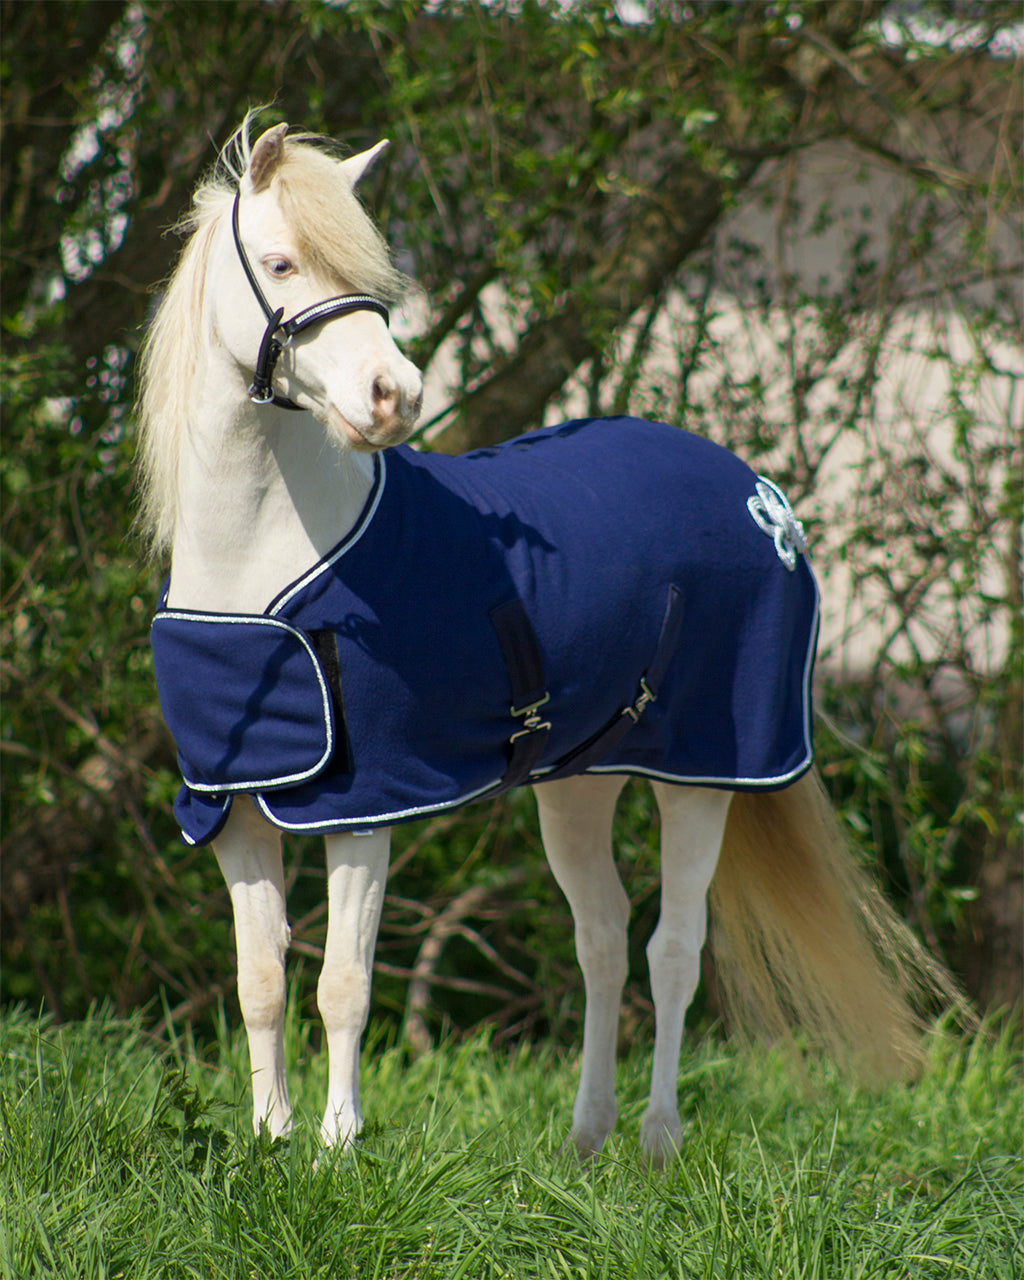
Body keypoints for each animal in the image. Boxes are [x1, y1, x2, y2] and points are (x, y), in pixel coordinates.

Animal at [136, 117, 953, 1167]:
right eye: (279, 262)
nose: (394, 394)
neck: (259, 569)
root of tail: (762, 498)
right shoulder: (235, 809)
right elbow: (262, 981)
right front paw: (271, 1141)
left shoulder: (364, 806)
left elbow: (343, 984)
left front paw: (338, 1148)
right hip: (578, 784)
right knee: (601, 940)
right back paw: (584, 1137)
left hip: (706, 774)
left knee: (674, 950)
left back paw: (656, 1141)